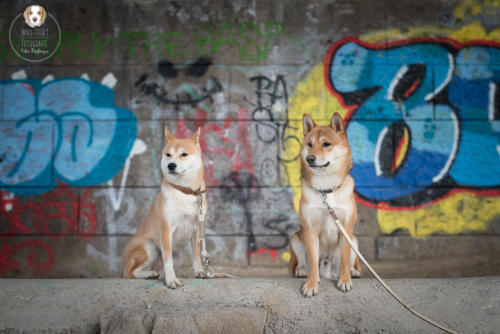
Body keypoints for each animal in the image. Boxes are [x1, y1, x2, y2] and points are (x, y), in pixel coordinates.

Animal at [123, 126, 209, 288]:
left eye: (184, 154)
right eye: (168, 155)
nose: (171, 165)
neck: (183, 191)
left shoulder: (197, 228)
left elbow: (196, 254)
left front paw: (199, 271)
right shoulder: (166, 229)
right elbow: (167, 259)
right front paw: (171, 280)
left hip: (179, 256)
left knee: (158, 267)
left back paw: (157, 274)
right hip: (148, 248)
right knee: (130, 273)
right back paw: (149, 274)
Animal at [288, 113, 362, 298]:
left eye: (326, 144)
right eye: (309, 144)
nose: (310, 158)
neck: (326, 189)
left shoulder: (346, 228)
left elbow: (345, 259)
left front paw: (344, 280)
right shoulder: (310, 229)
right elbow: (313, 262)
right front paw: (311, 284)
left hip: (354, 241)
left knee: (350, 260)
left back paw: (353, 271)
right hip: (296, 238)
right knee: (303, 261)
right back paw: (301, 270)